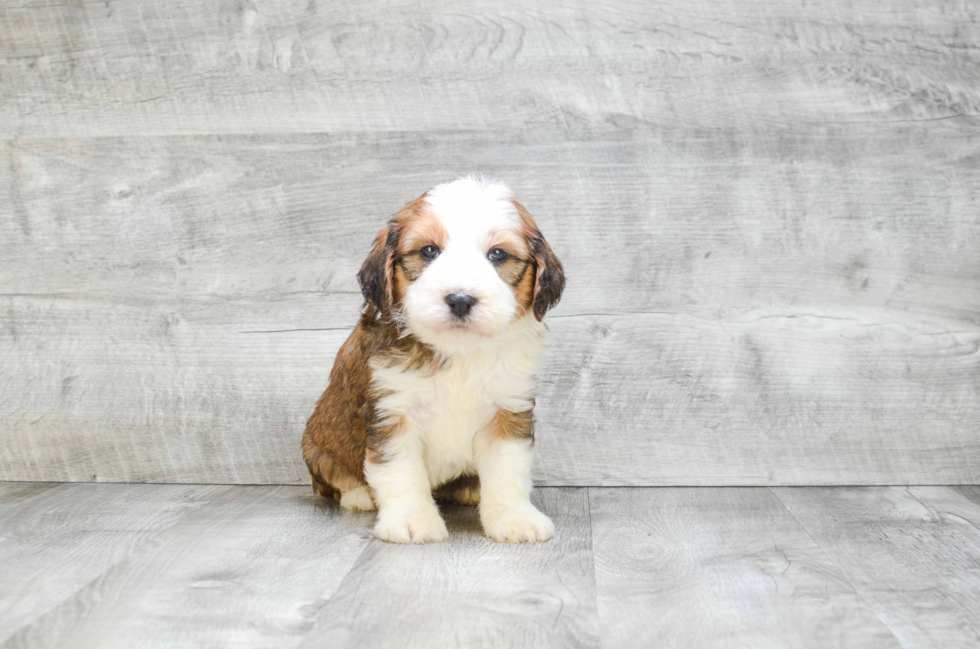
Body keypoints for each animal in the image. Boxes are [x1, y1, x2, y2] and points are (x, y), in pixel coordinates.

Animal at [300, 176, 568, 540]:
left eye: (498, 254)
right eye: (428, 250)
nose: (460, 299)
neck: (458, 350)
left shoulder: (508, 409)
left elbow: (507, 470)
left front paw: (514, 517)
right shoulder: (392, 412)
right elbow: (401, 472)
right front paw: (411, 521)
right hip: (316, 443)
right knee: (332, 478)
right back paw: (359, 495)